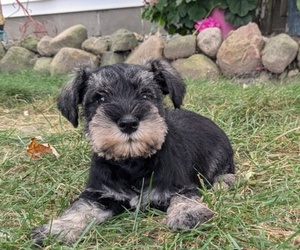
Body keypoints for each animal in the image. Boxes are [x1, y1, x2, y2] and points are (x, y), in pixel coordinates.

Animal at [31, 57, 236, 243]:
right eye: (99, 98)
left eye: (146, 94)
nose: (128, 123)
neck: (132, 162)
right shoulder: (99, 193)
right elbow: (81, 208)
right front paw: (58, 228)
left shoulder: (178, 186)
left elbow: (184, 197)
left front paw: (189, 214)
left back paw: (224, 182)